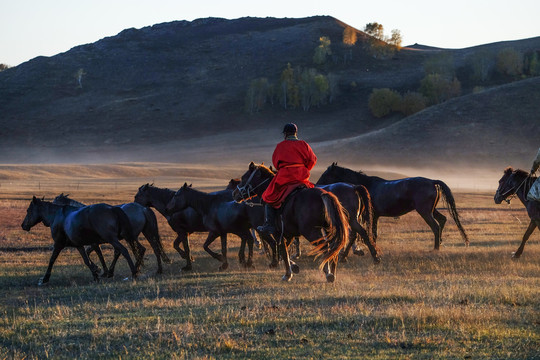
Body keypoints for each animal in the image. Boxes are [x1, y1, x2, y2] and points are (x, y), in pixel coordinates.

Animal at [316, 163, 468, 250]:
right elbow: (373, 232)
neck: (366, 185)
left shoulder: (372, 216)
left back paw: (436, 248)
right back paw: (440, 243)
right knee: (442, 220)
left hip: (425, 212)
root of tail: (432, 181)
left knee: (435, 227)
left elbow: (372, 233)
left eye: (326, 174)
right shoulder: (374, 216)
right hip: (431, 210)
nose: (318, 185)